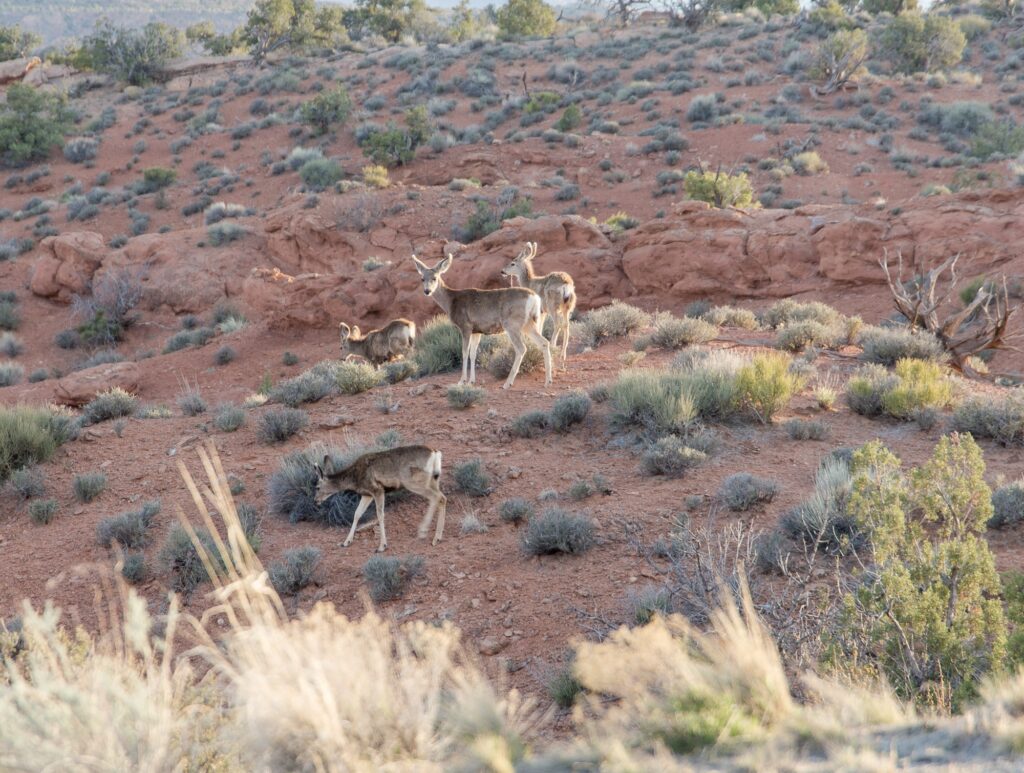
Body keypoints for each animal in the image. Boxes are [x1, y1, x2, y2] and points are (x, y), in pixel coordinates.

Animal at [313, 445, 446, 553]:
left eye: (317, 487)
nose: (315, 501)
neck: (355, 478)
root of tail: (435, 453)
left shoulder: (377, 490)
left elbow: (380, 515)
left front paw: (382, 546)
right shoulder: (367, 494)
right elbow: (357, 513)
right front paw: (346, 542)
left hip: (414, 481)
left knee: (436, 497)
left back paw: (424, 532)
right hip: (433, 480)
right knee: (442, 498)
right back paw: (437, 537)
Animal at [411, 252, 553, 389]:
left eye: (434, 278)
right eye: (422, 278)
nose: (427, 291)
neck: (451, 301)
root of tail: (534, 297)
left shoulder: (465, 326)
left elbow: (464, 352)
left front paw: (461, 381)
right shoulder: (476, 331)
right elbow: (473, 353)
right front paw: (471, 381)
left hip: (512, 324)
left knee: (521, 348)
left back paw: (508, 383)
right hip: (528, 323)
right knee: (544, 342)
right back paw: (547, 381)